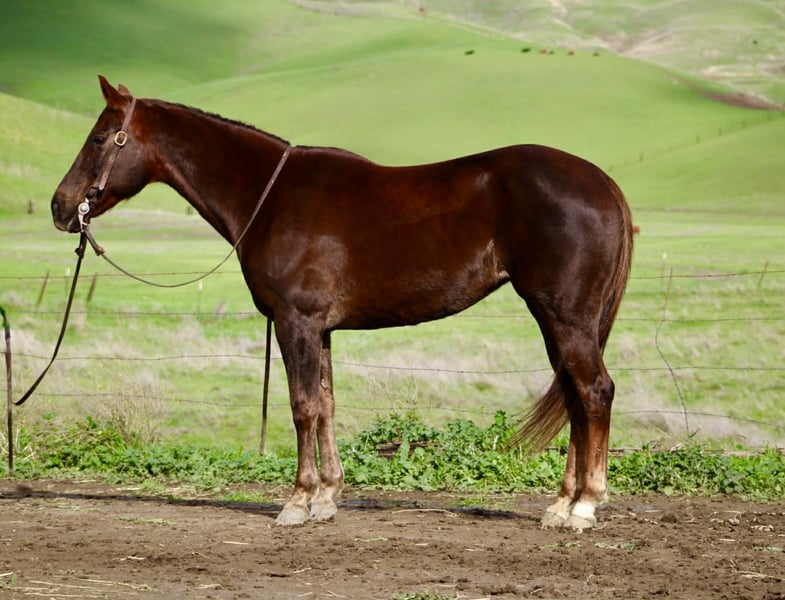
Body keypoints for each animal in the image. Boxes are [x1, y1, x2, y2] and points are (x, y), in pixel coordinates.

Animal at [51, 76, 633, 530]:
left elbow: (303, 406)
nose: (60, 207)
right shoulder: (321, 330)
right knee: (576, 397)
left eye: (99, 137)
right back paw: (561, 505)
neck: (269, 196)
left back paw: (585, 506)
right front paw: (328, 496)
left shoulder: (296, 323)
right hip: (557, 320)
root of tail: (604, 183)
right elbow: (327, 403)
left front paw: (298, 500)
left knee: (594, 392)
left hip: (564, 316)